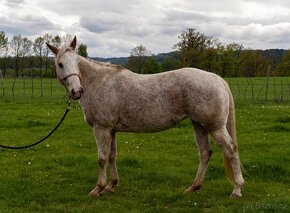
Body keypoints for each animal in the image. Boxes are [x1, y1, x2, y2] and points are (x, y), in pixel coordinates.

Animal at [46, 36, 245, 198]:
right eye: (60, 64)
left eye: (76, 63)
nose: (77, 91)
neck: (99, 82)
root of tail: (217, 79)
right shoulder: (112, 130)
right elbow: (112, 156)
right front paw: (111, 185)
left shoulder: (101, 129)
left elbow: (102, 159)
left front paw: (98, 189)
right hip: (199, 125)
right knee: (205, 153)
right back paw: (193, 187)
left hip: (215, 127)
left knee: (231, 150)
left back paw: (237, 189)